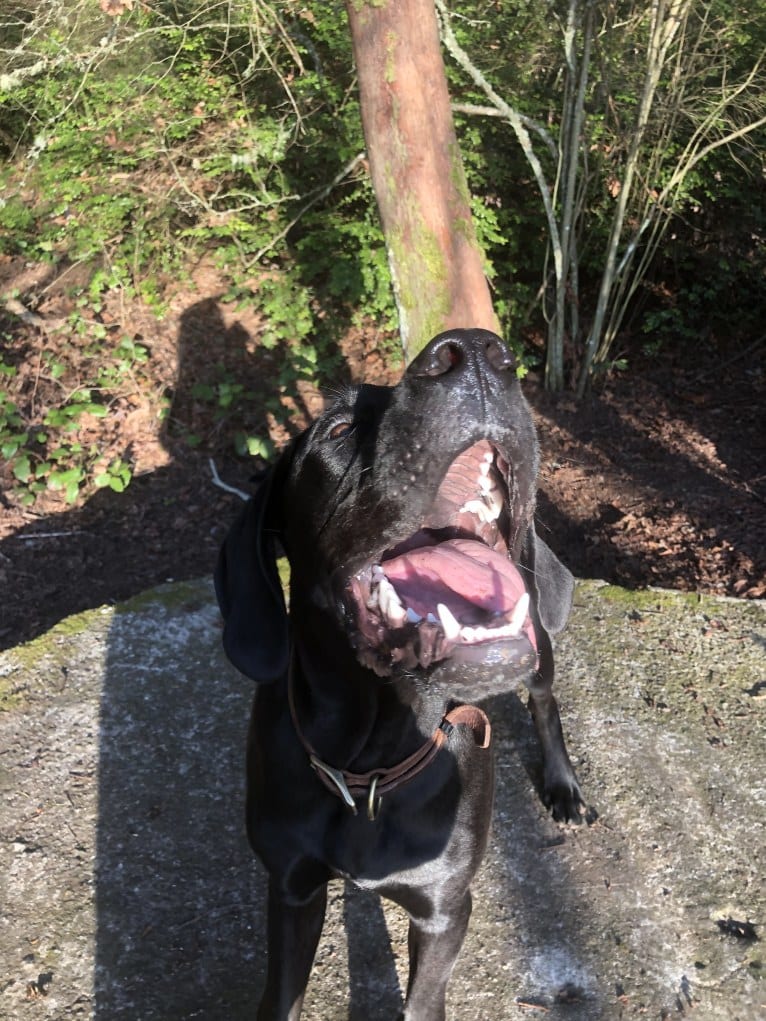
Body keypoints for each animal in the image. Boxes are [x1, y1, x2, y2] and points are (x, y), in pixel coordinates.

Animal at [217, 328, 588, 1021]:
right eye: (338, 429)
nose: (477, 354)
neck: (369, 766)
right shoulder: (290, 889)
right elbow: (281, 995)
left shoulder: (442, 909)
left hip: (539, 649)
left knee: (545, 702)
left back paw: (564, 786)